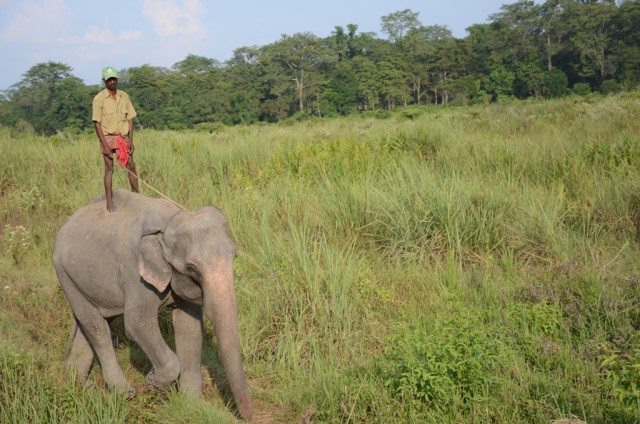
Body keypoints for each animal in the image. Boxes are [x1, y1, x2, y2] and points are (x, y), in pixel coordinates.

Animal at [53, 189, 252, 420]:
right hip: (64, 274)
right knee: (96, 326)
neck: (169, 220)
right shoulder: (135, 274)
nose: (247, 416)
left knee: (90, 325)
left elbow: (189, 328)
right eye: (192, 268)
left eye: (234, 255)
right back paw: (122, 392)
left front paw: (192, 406)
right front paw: (153, 383)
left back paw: (79, 386)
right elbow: (137, 324)